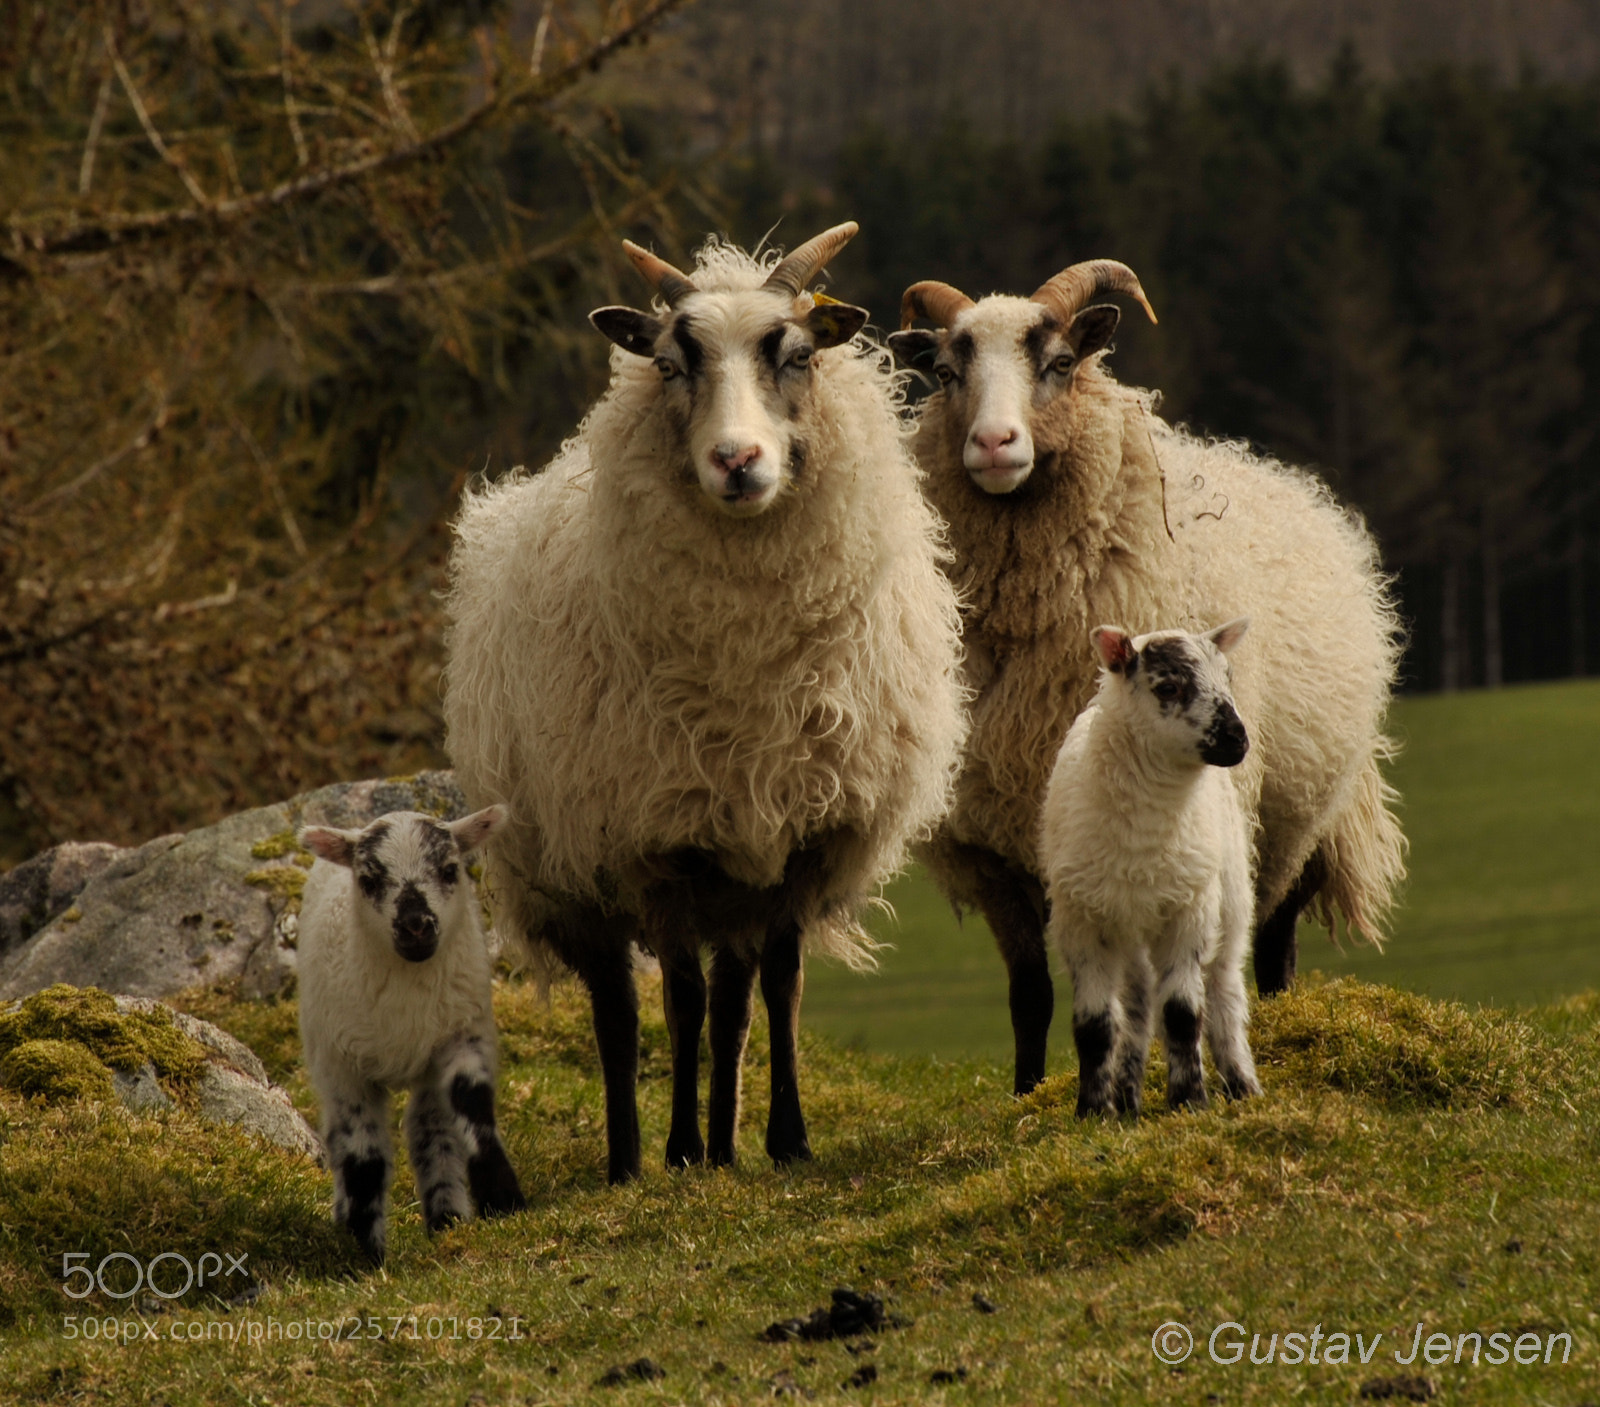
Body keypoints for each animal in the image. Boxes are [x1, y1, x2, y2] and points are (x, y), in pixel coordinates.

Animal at [297, 806, 525, 1264]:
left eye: (450, 869)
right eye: (368, 880)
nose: (416, 926)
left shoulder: (462, 1035)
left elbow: (472, 1105)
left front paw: (502, 1197)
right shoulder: (343, 1068)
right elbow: (363, 1157)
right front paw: (364, 1253)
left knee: (430, 1130)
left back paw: (447, 1218)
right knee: (345, 1143)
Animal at [443, 224, 968, 1183]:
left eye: (795, 354)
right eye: (669, 362)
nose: (737, 461)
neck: (747, 669)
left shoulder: (798, 833)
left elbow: (777, 989)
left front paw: (783, 1139)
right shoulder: (659, 837)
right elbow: (677, 1002)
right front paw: (680, 1146)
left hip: (730, 867)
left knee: (732, 1000)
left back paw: (726, 1144)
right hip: (573, 863)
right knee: (619, 1013)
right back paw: (633, 1155)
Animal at [1040, 619, 1261, 1117]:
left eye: (1229, 677)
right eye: (1169, 687)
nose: (1237, 739)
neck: (1145, 833)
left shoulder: (1189, 911)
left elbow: (1182, 1014)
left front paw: (1190, 1101)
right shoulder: (1080, 922)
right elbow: (1095, 1024)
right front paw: (1092, 1111)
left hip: (1231, 897)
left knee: (1224, 990)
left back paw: (1242, 1084)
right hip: (1127, 927)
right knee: (1138, 1005)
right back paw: (1125, 1098)